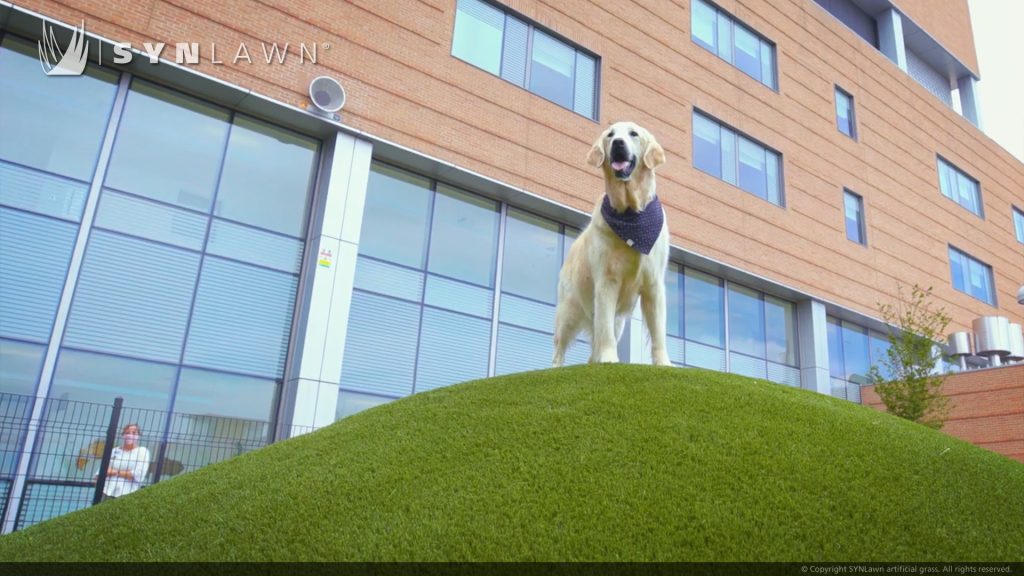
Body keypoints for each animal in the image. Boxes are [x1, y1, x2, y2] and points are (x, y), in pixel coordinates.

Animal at [552, 120, 671, 364]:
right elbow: (605, 334)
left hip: (618, 320)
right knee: (559, 349)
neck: (631, 214)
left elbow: (658, 333)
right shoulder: (606, 282)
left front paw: (664, 364)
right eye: (610, 135)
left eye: (633, 134)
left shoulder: (654, 284)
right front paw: (609, 359)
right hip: (569, 310)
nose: (618, 143)